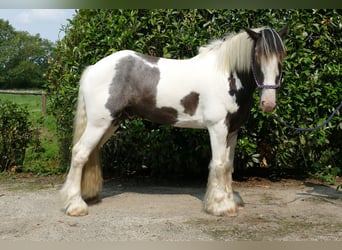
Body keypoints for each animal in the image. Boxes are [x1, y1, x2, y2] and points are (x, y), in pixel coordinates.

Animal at [60, 25, 288, 217]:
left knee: (90, 153)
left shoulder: (232, 131)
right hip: (99, 123)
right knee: (80, 153)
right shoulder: (217, 129)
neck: (227, 76)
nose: (269, 103)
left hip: (110, 123)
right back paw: (75, 205)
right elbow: (219, 164)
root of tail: (92, 68)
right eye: (257, 56)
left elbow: (228, 166)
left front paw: (231, 201)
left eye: (281, 57)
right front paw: (220, 206)